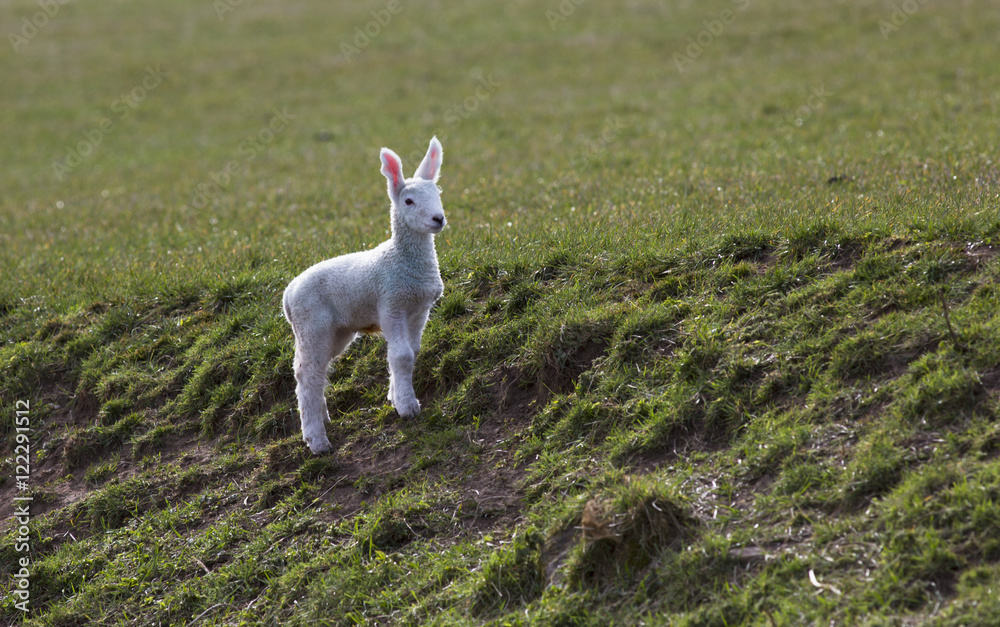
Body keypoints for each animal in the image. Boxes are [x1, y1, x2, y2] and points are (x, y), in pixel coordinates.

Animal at [282, 137, 447, 454]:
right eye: (408, 201)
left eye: (438, 193)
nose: (439, 218)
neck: (402, 260)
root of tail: (287, 294)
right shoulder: (391, 304)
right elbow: (401, 355)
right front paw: (408, 407)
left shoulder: (419, 310)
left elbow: (412, 351)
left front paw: (395, 395)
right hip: (312, 323)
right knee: (307, 373)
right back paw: (316, 439)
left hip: (336, 331)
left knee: (317, 370)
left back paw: (322, 416)